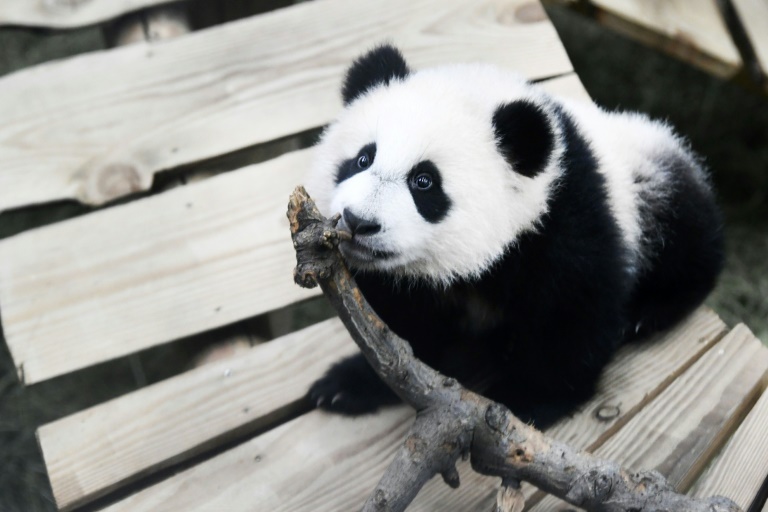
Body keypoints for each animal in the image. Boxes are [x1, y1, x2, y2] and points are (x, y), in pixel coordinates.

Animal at [304, 45, 724, 428]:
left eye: (424, 181)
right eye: (362, 159)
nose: (358, 222)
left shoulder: (568, 218)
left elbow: (572, 311)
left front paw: (524, 400)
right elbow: (398, 324)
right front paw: (350, 384)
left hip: (653, 185)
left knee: (687, 245)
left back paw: (647, 313)